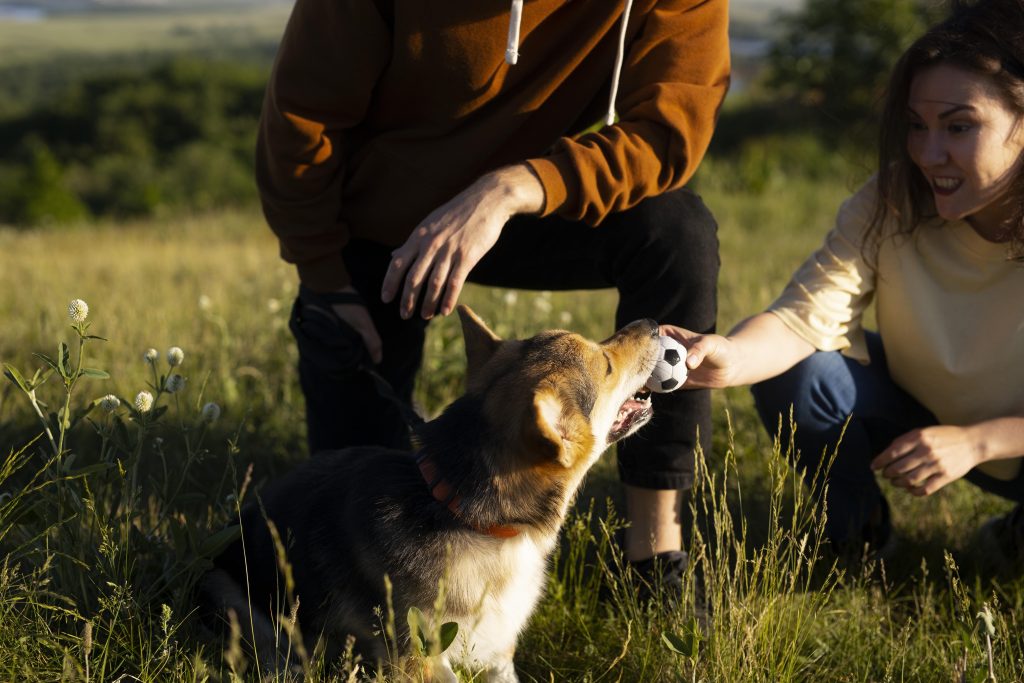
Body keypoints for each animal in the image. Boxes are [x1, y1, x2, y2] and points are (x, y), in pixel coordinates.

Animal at [200, 307, 663, 679]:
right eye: (606, 365)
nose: (654, 323)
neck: (468, 515)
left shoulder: (498, 654)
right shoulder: (418, 659)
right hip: (231, 594)